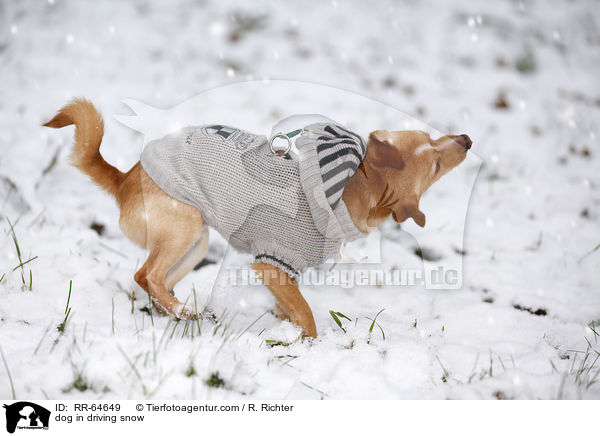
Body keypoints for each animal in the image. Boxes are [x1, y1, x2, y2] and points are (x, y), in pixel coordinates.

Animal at [44, 99, 472, 338]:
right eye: (436, 164)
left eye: (429, 138)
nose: (466, 139)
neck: (346, 188)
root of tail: (123, 180)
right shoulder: (272, 264)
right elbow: (307, 313)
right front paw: (308, 343)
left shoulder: (283, 275)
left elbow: (291, 307)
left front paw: (285, 327)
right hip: (184, 225)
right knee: (145, 274)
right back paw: (183, 311)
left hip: (195, 244)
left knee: (154, 282)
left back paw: (177, 312)